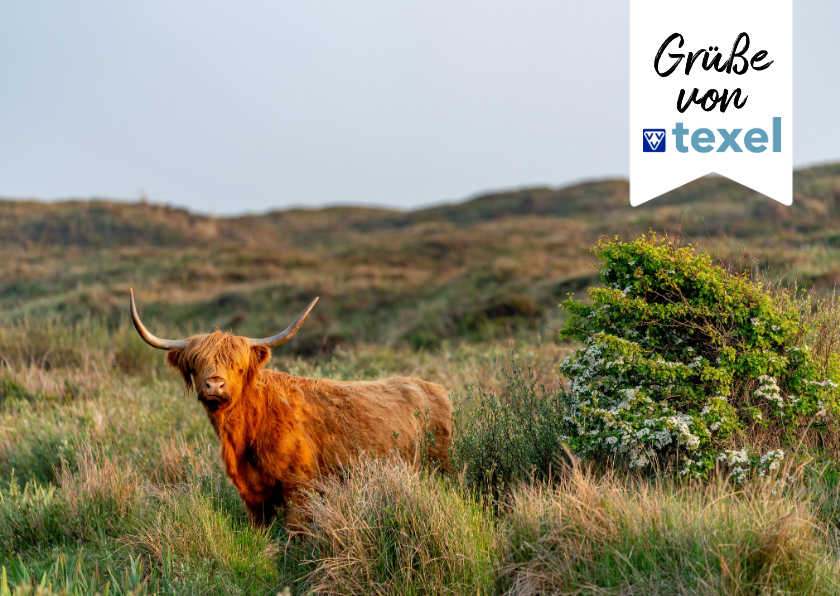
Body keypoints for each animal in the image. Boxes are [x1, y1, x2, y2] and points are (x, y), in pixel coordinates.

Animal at [128, 292, 452, 528]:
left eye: (238, 366)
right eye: (197, 364)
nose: (215, 385)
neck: (245, 433)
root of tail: (434, 388)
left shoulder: (299, 487)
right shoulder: (253, 497)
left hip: (440, 466)